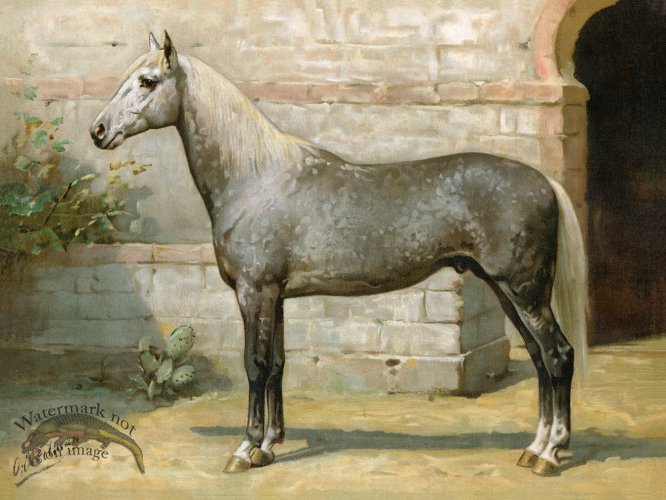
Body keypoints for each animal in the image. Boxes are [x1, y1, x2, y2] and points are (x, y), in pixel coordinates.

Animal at [91, 32, 588, 476]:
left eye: (148, 81)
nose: (98, 131)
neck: (255, 178)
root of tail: (544, 181)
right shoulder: (276, 297)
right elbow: (277, 365)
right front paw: (269, 446)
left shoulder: (255, 292)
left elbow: (254, 365)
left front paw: (245, 449)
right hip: (506, 290)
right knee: (540, 359)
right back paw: (534, 447)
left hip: (524, 292)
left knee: (559, 356)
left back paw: (550, 454)